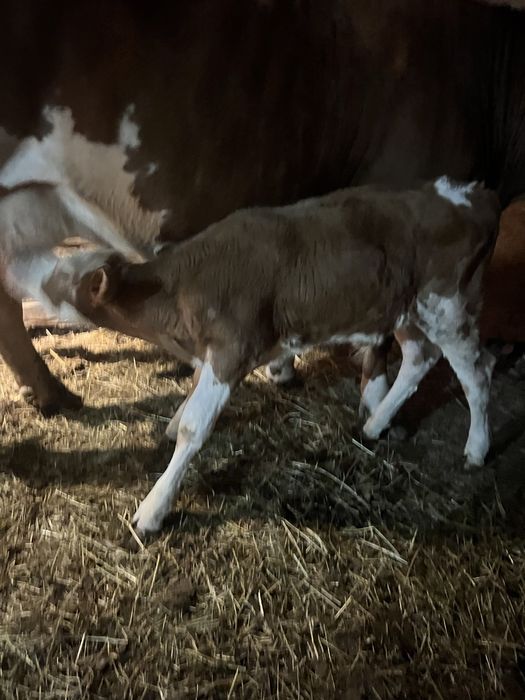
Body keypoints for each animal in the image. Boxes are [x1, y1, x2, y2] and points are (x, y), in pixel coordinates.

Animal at [15, 176, 499, 534]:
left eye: (67, 278)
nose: (23, 270)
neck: (182, 292)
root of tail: (470, 192)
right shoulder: (214, 348)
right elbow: (192, 393)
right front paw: (173, 422)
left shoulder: (233, 346)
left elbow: (195, 428)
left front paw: (153, 509)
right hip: (404, 305)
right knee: (418, 356)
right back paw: (376, 424)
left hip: (447, 303)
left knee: (475, 372)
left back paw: (476, 448)